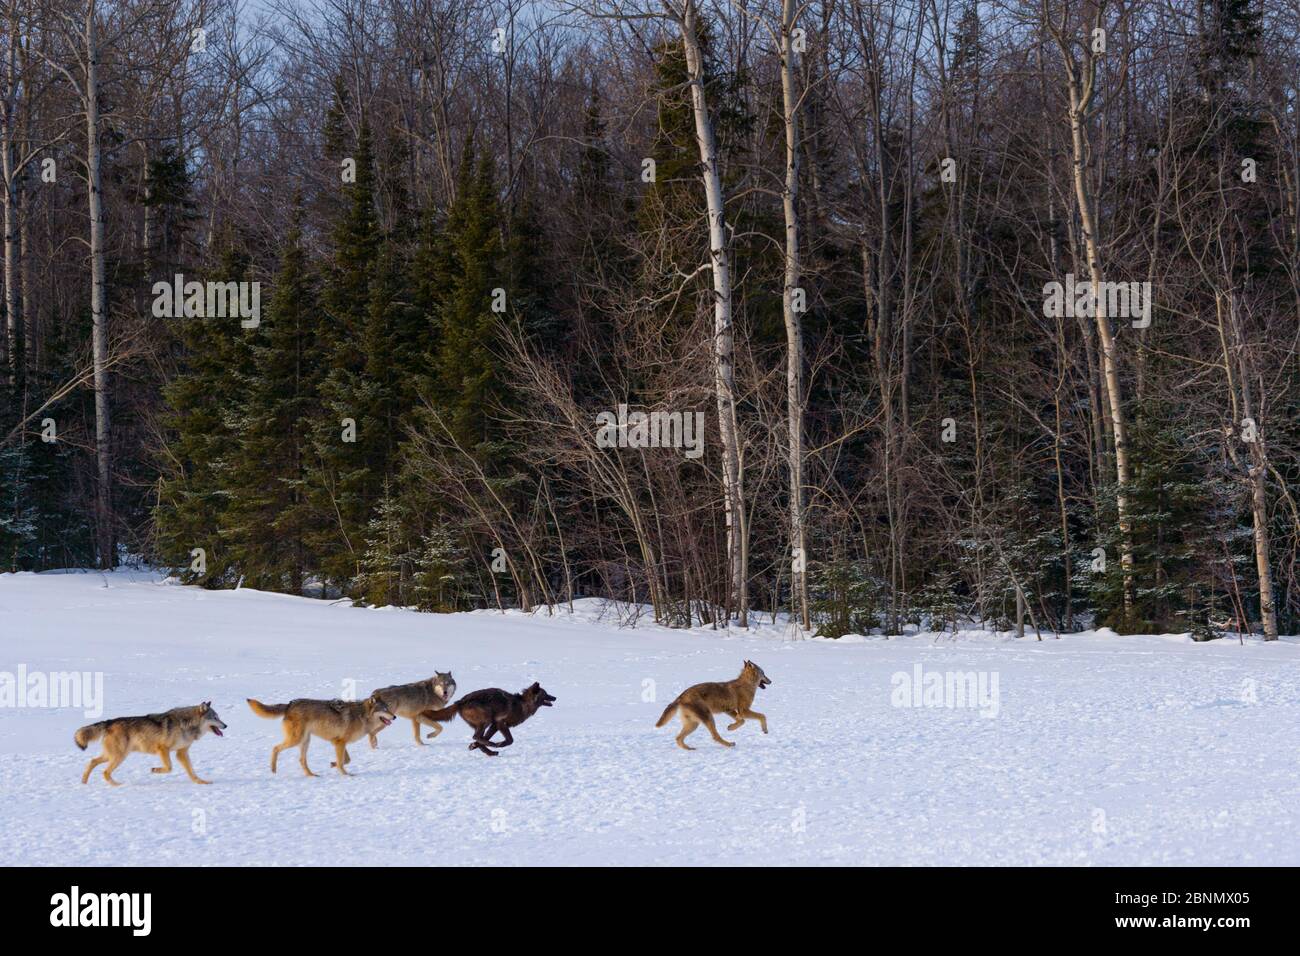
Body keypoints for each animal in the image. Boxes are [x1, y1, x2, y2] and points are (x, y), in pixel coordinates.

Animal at [74, 702, 227, 785]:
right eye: (215, 717)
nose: (226, 725)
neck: (186, 725)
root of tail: (109, 722)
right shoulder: (163, 749)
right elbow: (169, 768)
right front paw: (154, 770)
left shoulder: (181, 753)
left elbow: (192, 772)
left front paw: (201, 782)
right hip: (119, 757)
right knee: (105, 772)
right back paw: (118, 785)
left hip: (112, 756)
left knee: (92, 762)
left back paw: (84, 782)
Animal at [245, 697, 392, 780]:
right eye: (385, 709)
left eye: (389, 708)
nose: (394, 716)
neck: (361, 715)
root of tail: (289, 704)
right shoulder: (339, 742)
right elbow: (342, 762)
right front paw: (346, 775)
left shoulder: (338, 742)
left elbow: (346, 760)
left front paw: (333, 764)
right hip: (296, 740)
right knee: (275, 748)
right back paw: (273, 770)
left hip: (305, 741)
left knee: (301, 760)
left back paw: (311, 775)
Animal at [418, 686, 556, 759]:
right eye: (545, 693)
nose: (555, 697)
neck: (522, 704)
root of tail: (460, 702)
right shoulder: (500, 723)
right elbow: (509, 740)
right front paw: (499, 744)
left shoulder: (494, 726)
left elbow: (483, 739)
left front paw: (474, 746)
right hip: (485, 720)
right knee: (476, 736)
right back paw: (491, 747)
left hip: (484, 723)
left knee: (478, 737)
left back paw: (489, 751)